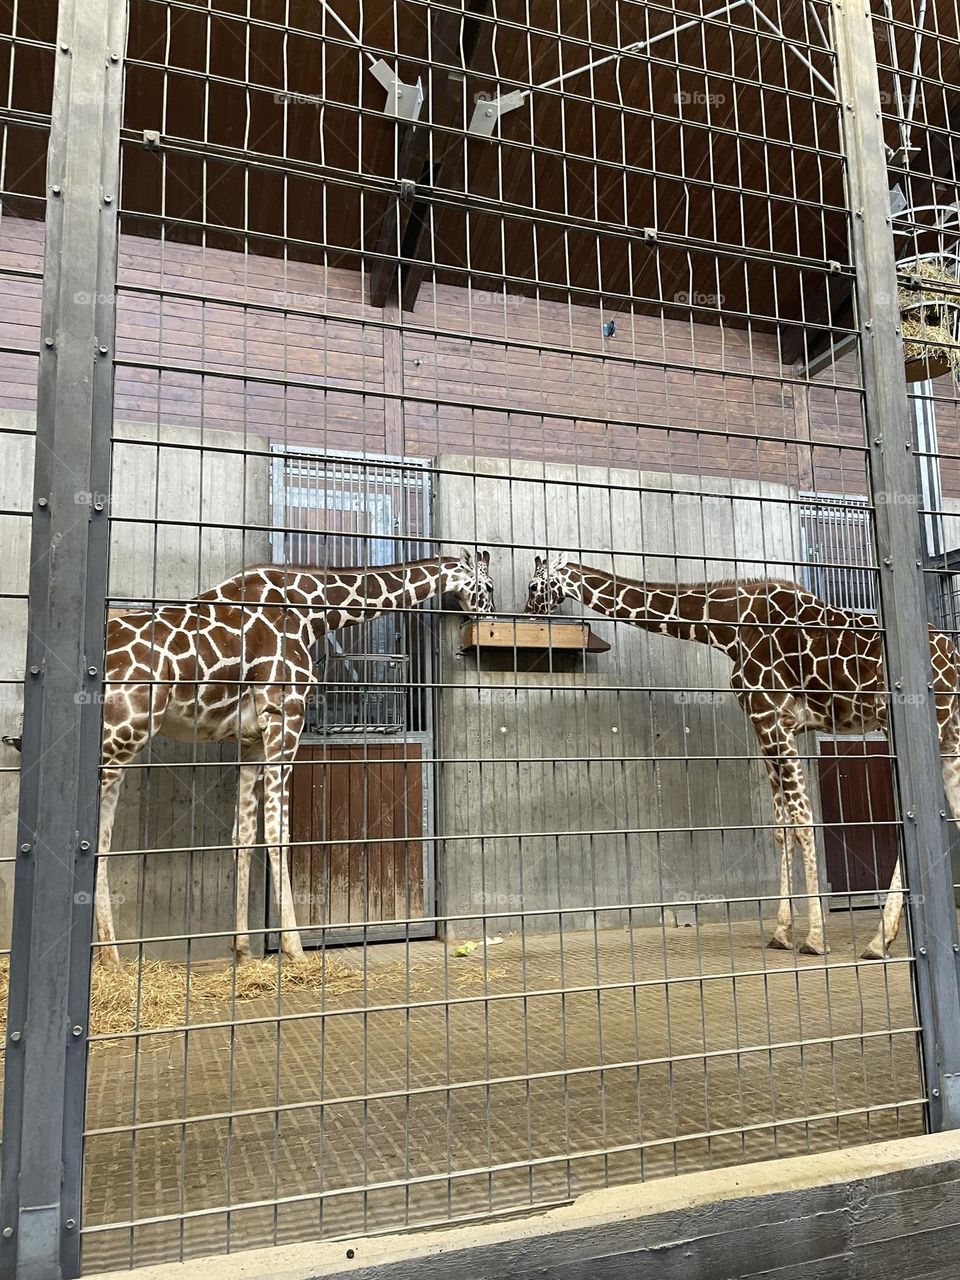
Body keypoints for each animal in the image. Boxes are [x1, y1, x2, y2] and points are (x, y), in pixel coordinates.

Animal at [95, 550, 495, 969]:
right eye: (488, 585)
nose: (487, 618)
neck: (314, 612)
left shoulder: (252, 740)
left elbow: (243, 835)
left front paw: (242, 951)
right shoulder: (285, 716)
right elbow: (278, 832)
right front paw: (295, 948)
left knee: (102, 838)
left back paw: (110, 959)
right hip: (121, 733)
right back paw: (109, 959)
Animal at [525, 554, 960, 959]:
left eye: (533, 585)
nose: (528, 612)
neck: (727, 629)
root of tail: (952, 655)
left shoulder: (772, 719)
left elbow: (803, 822)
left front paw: (814, 939)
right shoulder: (767, 727)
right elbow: (780, 826)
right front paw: (781, 932)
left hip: (917, 723)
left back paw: (879, 939)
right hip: (941, 729)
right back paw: (882, 939)